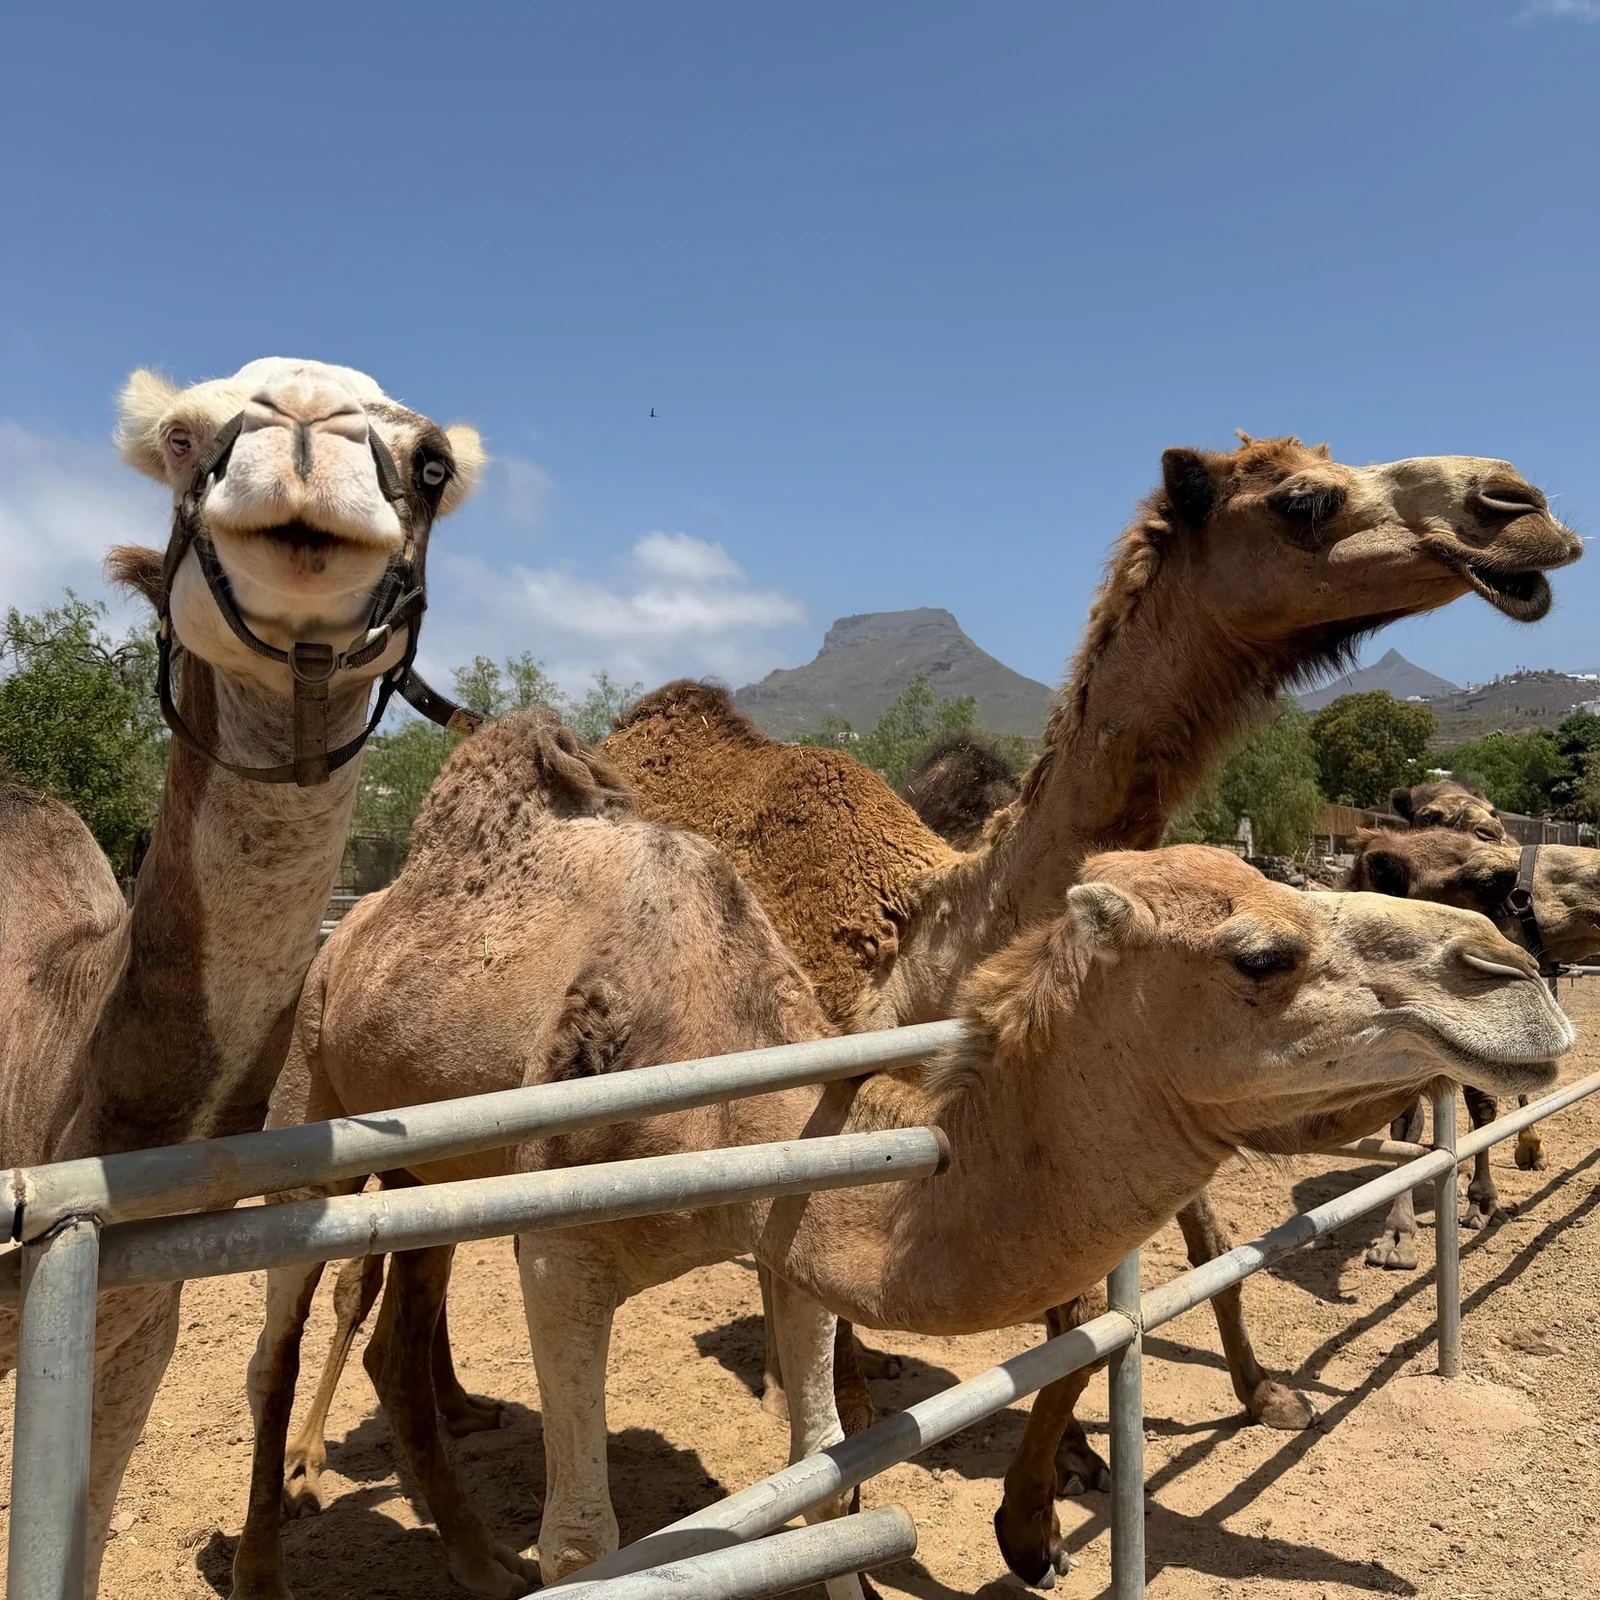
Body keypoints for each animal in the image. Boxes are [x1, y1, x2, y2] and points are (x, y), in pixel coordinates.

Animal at [226, 711, 1572, 1600]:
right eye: (1260, 953)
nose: (1512, 975)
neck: (726, 1094)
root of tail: (358, 923)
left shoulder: (788, 1237)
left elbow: (817, 1470)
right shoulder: (563, 1254)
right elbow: (584, 1542)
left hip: (432, 1172)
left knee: (399, 1332)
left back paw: (466, 1555)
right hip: (315, 1099)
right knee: (274, 1339)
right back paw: (266, 1559)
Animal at [1345, 826, 1600, 1266]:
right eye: (1486, 880)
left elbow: (1484, 1109)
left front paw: (1483, 1203)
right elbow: (1404, 1127)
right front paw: (1396, 1236)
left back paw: (1529, 1151)